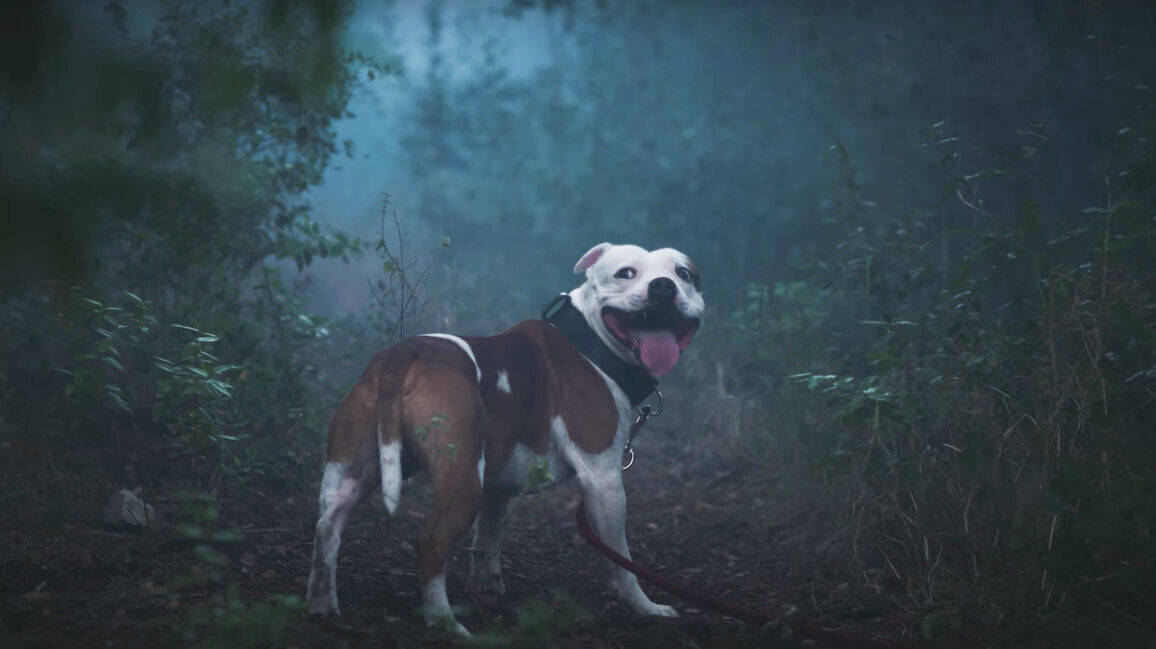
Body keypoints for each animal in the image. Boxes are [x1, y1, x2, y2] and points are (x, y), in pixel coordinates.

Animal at [305, 241, 702, 633]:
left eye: (684, 274)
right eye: (625, 273)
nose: (663, 287)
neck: (590, 344)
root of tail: (402, 356)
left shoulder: (498, 486)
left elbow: (489, 540)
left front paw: (487, 591)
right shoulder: (603, 480)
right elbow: (621, 559)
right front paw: (645, 606)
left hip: (351, 467)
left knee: (327, 524)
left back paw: (322, 605)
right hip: (463, 477)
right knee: (431, 540)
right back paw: (445, 623)